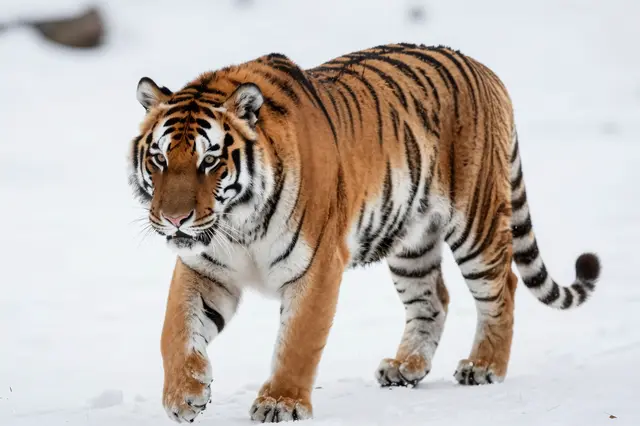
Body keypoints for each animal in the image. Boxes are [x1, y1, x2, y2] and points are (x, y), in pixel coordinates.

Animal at [127, 43, 600, 423]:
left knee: (503, 289)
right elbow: (175, 330)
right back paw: (406, 367)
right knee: (434, 299)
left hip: (476, 224)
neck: (238, 223)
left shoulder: (316, 267)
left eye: (209, 161)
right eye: (159, 159)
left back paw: (483, 367)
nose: (174, 219)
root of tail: (486, 70)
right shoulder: (205, 267)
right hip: (412, 242)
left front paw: (281, 403)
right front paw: (184, 396)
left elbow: (298, 340)